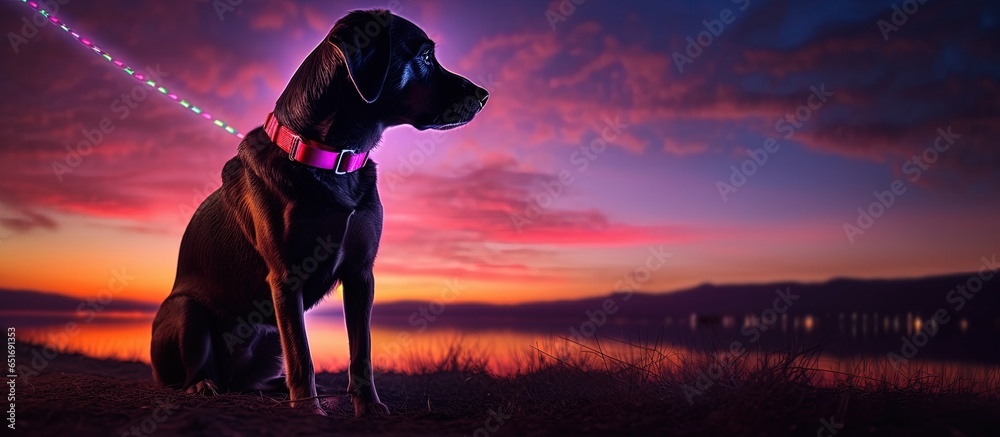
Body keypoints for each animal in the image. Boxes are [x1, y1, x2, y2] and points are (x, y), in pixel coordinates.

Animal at [149, 9, 488, 416]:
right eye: (424, 56)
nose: (484, 95)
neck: (331, 158)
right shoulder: (285, 278)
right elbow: (303, 354)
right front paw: (310, 410)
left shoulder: (361, 273)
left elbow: (361, 351)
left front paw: (368, 406)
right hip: (188, 311)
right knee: (190, 372)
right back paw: (204, 385)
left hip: (267, 335)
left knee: (253, 380)